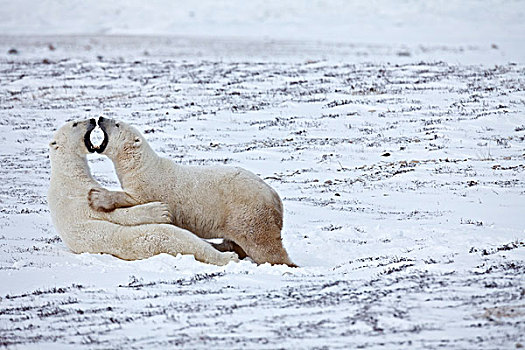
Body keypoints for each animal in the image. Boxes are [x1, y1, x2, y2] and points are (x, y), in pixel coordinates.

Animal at [48, 118, 236, 266]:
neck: (68, 175)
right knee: (181, 240)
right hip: (149, 239)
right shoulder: (77, 201)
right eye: (74, 124)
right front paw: (160, 211)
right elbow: (116, 214)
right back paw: (228, 256)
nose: (93, 120)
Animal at [88, 116, 296, 266]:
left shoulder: (150, 186)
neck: (142, 165)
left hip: (248, 213)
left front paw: (96, 197)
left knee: (264, 247)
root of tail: (275, 198)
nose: (101, 118)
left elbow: (136, 199)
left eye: (117, 124)